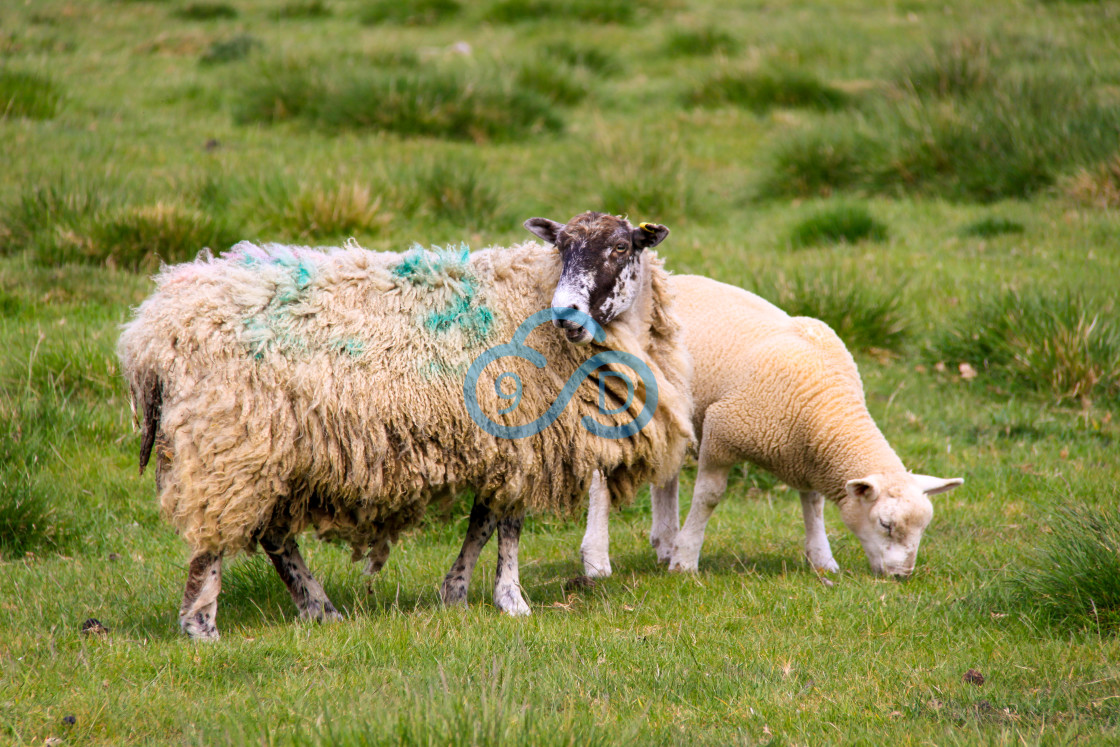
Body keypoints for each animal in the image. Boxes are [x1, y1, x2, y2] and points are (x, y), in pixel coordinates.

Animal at [115, 211, 689, 645]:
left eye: (620, 247)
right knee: (217, 538)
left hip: (269, 446)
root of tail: (150, 332)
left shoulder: (503, 446)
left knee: (275, 535)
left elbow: (482, 523)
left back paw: (318, 608)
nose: (565, 313)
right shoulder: (522, 437)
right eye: (562, 247)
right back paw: (202, 626)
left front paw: (456, 593)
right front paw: (511, 599)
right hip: (229, 437)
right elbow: (507, 527)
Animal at [577, 274, 963, 577]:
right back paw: (598, 559)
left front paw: (822, 559)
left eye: (923, 528)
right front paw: (686, 560)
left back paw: (664, 541)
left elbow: (814, 504)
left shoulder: (808, 453)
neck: (826, 404)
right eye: (886, 524)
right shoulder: (722, 431)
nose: (902, 576)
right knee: (601, 472)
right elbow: (708, 498)